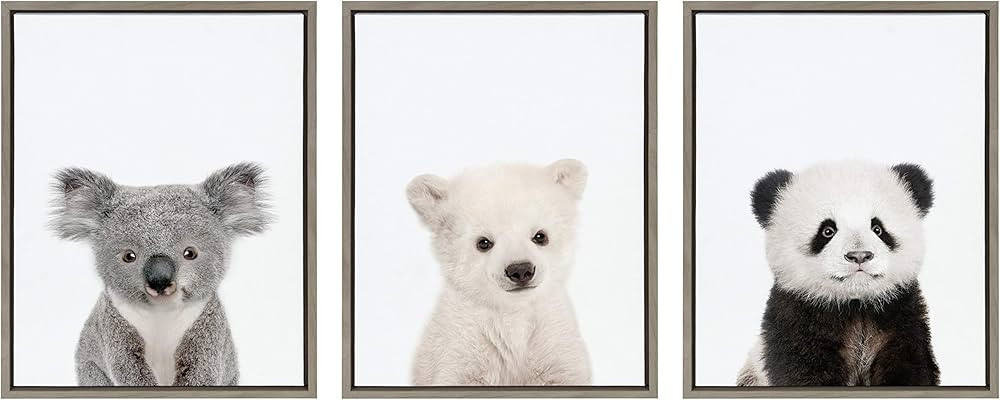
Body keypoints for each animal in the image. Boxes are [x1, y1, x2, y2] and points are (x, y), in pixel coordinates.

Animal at [50, 163, 272, 386]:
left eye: (190, 253)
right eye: (129, 256)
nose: (159, 281)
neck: (162, 313)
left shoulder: (208, 327)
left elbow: (201, 370)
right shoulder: (113, 327)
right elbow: (127, 368)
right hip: (91, 371)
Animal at [406, 159, 592, 386]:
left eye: (540, 236)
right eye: (483, 242)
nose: (520, 270)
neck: (513, 312)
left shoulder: (553, 340)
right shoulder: (462, 344)